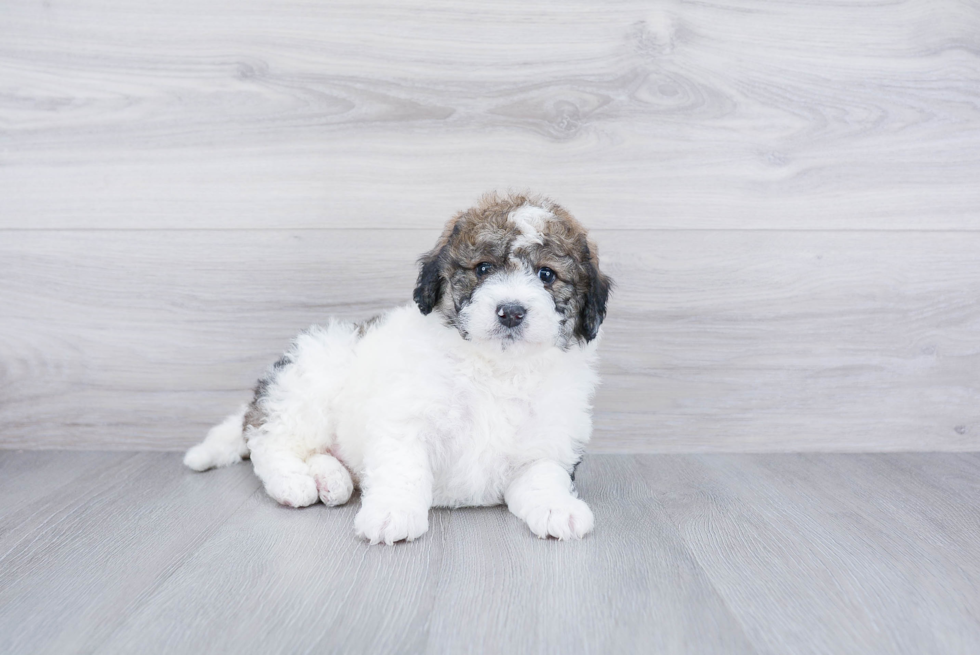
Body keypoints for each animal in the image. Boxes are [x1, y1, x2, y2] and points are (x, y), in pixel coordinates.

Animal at [185, 192, 612, 544]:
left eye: (546, 275)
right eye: (483, 269)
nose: (510, 311)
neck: (495, 368)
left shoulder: (548, 443)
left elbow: (544, 477)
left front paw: (558, 508)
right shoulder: (405, 421)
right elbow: (403, 469)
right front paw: (392, 513)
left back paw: (331, 479)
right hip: (307, 386)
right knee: (268, 440)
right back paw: (294, 483)